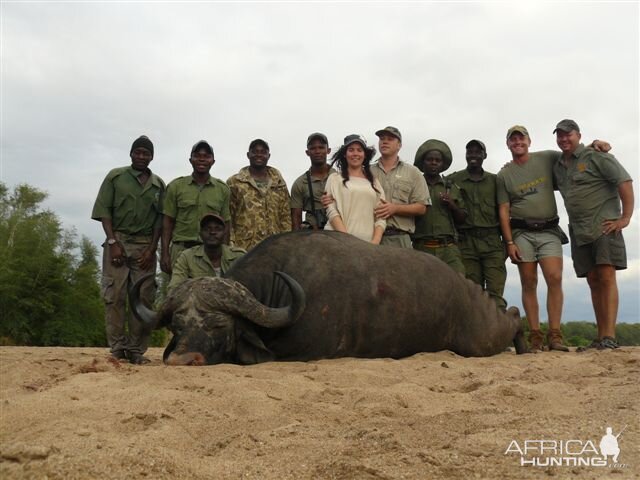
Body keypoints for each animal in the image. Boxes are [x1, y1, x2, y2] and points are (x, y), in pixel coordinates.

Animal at [131, 231, 524, 366]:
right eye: (178, 326)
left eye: (218, 324)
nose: (181, 359)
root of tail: (462, 287)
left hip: (481, 337)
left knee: (513, 317)